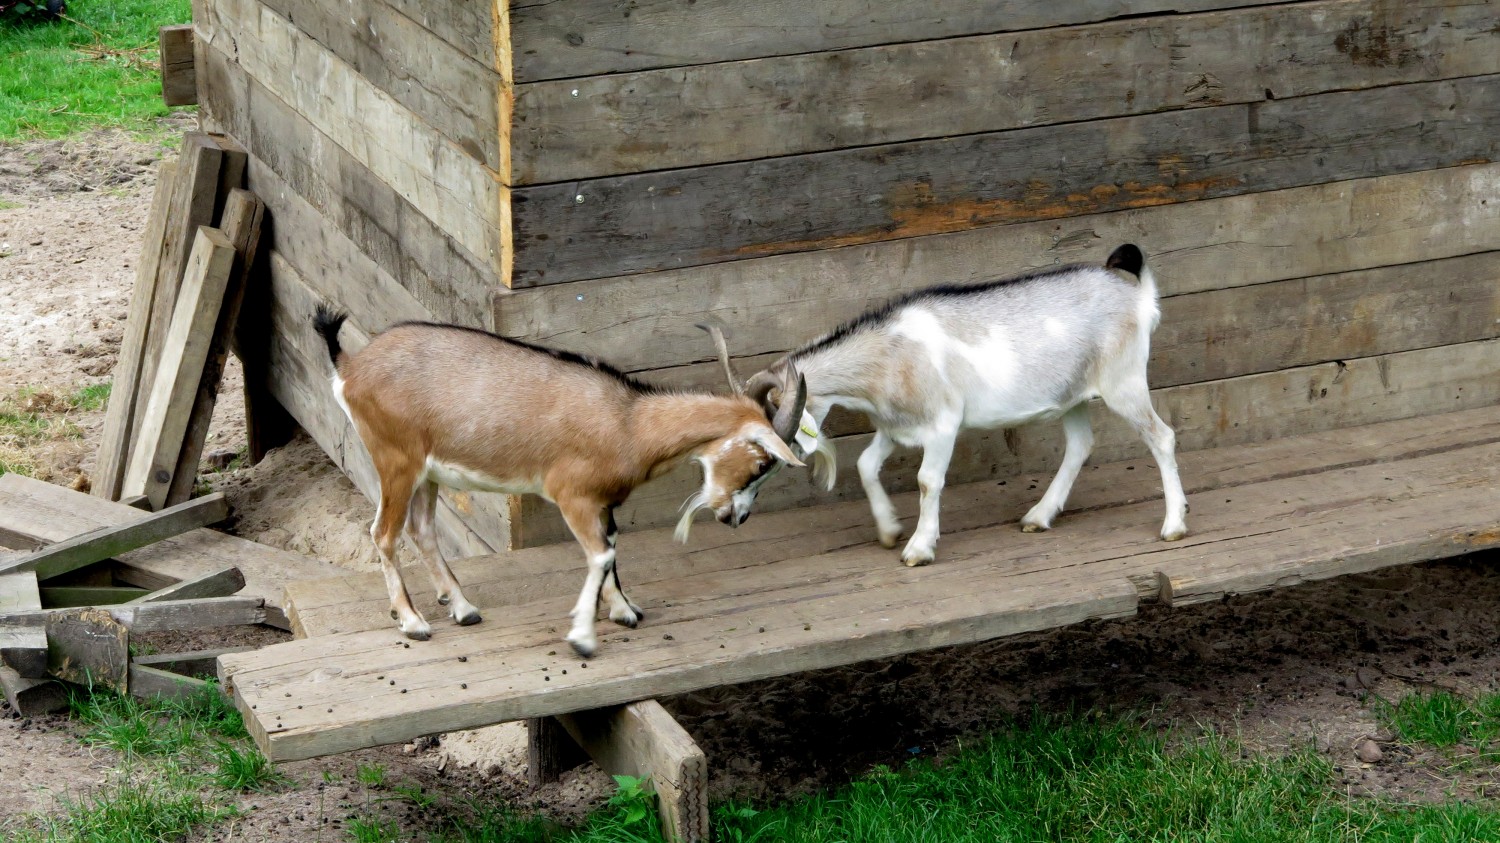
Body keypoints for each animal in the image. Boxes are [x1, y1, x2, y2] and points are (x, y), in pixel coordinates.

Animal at [314, 309, 807, 656]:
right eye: (762, 462)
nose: (736, 516)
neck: (628, 423)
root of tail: (351, 366)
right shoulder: (573, 496)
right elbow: (600, 555)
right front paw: (583, 638)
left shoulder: (604, 503)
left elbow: (612, 550)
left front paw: (624, 611)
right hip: (396, 460)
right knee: (383, 532)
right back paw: (414, 622)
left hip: (427, 472)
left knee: (421, 529)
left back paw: (464, 609)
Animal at [732, 244, 1187, 567]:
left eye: (765, 461)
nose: (734, 517)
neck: (891, 352)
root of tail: (1139, 297)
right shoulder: (894, 427)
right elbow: (864, 464)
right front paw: (889, 530)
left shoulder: (942, 425)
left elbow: (926, 481)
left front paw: (919, 549)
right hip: (1071, 396)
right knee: (1080, 445)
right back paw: (1038, 517)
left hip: (1123, 383)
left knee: (1162, 437)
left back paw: (1173, 525)